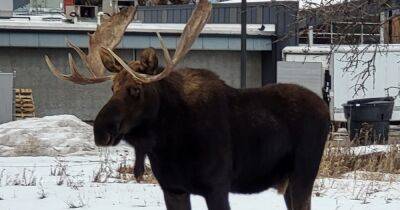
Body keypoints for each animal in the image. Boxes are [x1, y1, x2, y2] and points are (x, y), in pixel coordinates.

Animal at [45, 1, 330, 208]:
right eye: (111, 88)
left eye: (136, 89)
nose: (100, 130)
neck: (168, 143)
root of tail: (324, 107)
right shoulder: (173, 189)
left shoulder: (217, 187)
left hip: (303, 174)